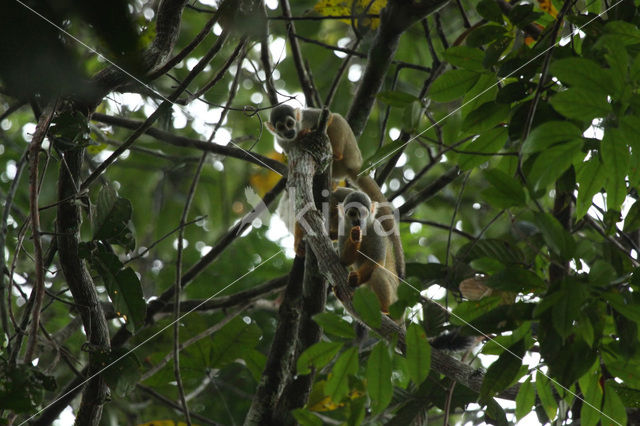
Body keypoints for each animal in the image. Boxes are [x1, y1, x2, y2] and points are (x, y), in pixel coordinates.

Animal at [264, 106, 404, 278]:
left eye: (290, 123)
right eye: (281, 127)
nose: (289, 131)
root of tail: (357, 165)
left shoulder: (308, 117)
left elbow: (329, 116)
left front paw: (306, 132)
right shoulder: (282, 142)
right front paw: (298, 243)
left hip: (350, 152)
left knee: (337, 120)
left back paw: (335, 154)